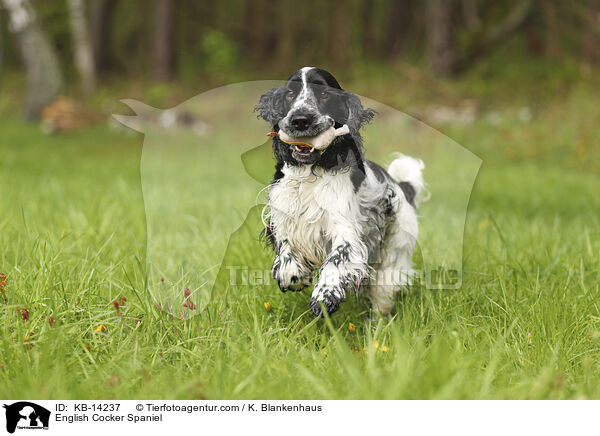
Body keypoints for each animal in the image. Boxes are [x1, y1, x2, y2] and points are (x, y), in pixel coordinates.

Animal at [255, 66, 424, 316]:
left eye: (325, 94)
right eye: (289, 94)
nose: (300, 120)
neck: (311, 170)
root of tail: (401, 186)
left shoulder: (345, 229)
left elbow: (338, 259)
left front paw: (324, 297)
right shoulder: (282, 212)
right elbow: (285, 245)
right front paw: (293, 275)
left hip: (394, 252)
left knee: (383, 292)